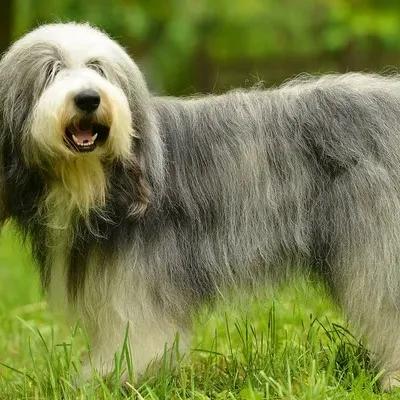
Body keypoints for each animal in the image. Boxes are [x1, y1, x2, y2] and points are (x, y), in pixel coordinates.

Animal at [0, 22, 400, 390]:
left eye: (98, 69)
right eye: (50, 70)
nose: (88, 99)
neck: (94, 182)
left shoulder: (139, 282)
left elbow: (138, 337)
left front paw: (109, 381)